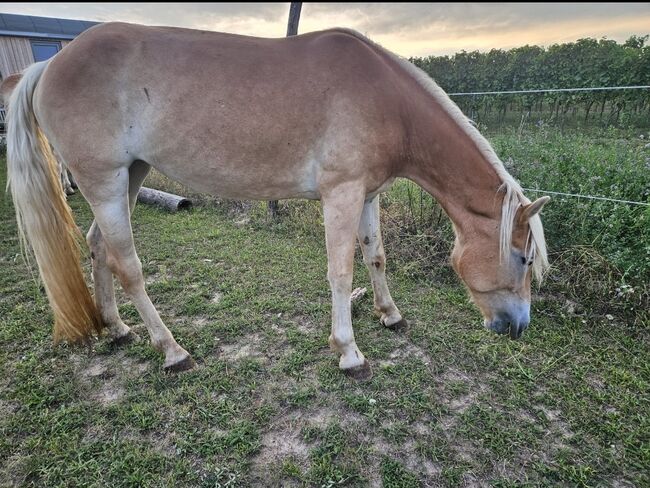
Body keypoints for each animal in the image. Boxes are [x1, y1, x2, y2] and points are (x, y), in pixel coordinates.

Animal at [6, 22, 548, 380]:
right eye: (522, 258)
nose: (518, 327)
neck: (386, 101)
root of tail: (49, 63)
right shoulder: (341, 194)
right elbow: (341, 271)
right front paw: (349, 352)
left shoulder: (367, 193)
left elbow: (375, 255)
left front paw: (390, 315)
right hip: (104, 182)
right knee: (128, 265)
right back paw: (173, 350)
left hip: (128, 177)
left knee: (98, 247)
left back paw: (117, 327)